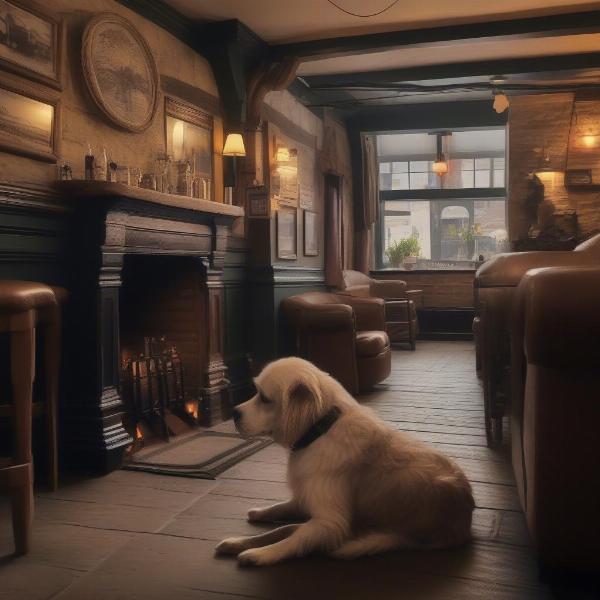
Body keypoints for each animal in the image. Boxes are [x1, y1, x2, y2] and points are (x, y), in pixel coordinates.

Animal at [214, 356, 474, 568]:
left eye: (264, 398)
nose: (234, 413)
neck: (320, 429)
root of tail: (466, 520)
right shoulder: (306, 501)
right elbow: (280, 520)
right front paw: (249, 528)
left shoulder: (329, 523)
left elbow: (292, 540)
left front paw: (261, 554)